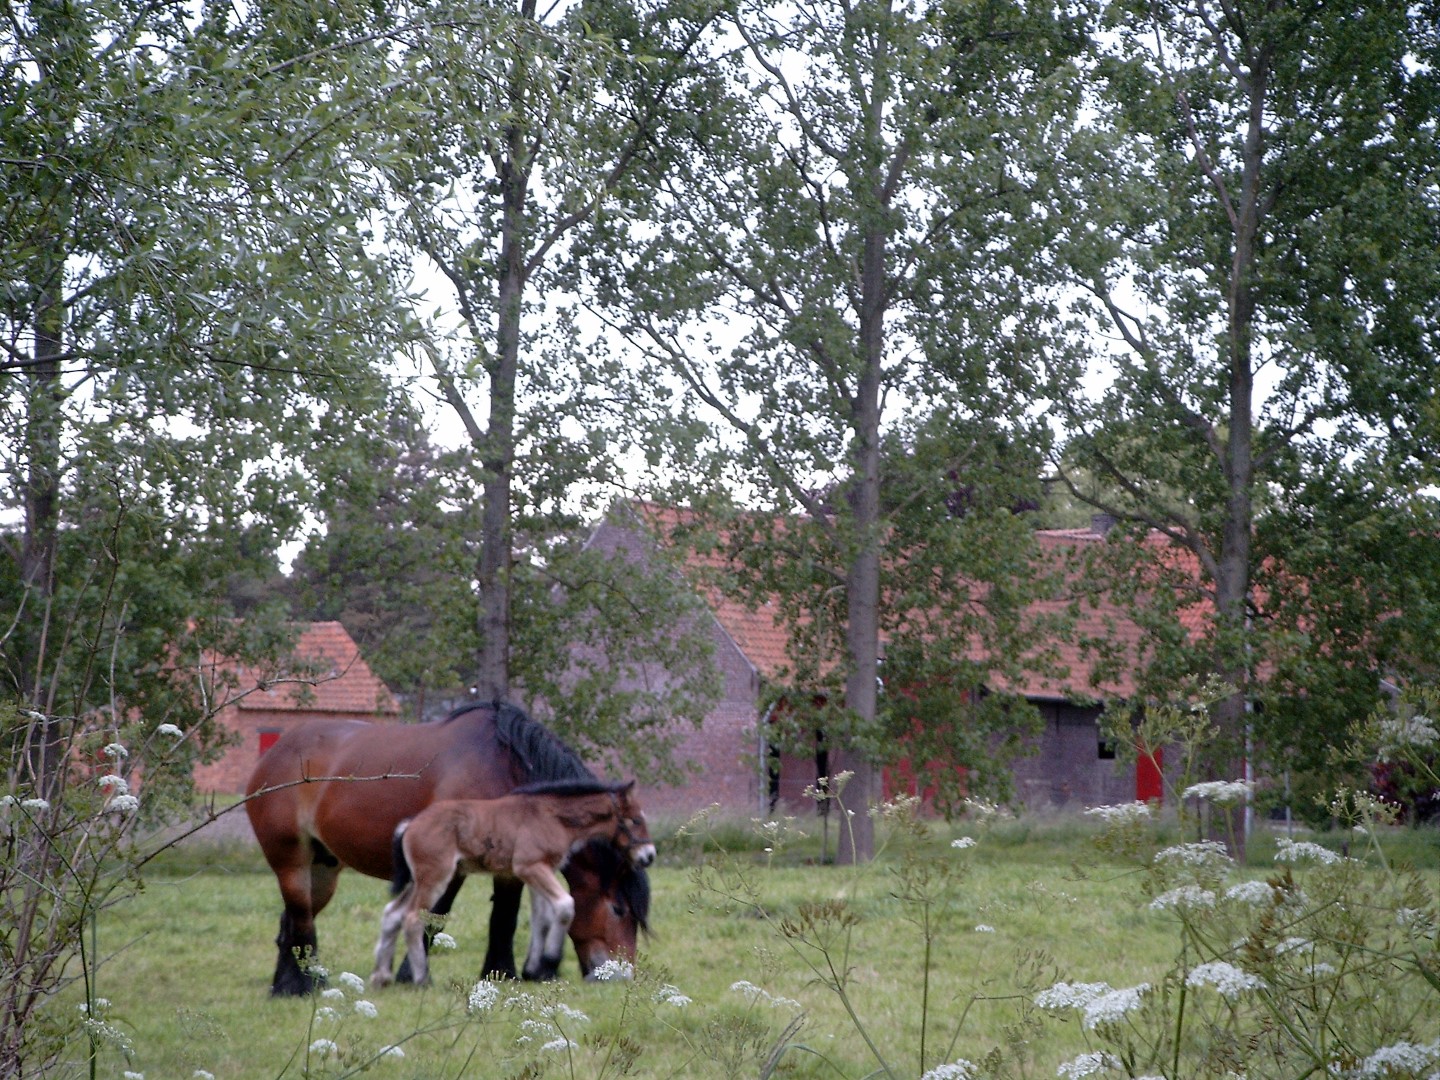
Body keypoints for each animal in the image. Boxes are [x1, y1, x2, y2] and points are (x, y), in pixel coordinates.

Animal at [247, 702, 653, 996]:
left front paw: (505, 972)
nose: (621, 977)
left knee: (292, 921)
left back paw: (291, 983)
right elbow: (432, 917)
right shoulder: (452, 866)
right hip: (291, 862)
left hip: (323, 869)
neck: (505, 768)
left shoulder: (511, 869)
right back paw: (300, 986)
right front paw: (411, 974)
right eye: (618, 909)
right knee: (301, 919)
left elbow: (505, 919)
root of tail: (273, 755)